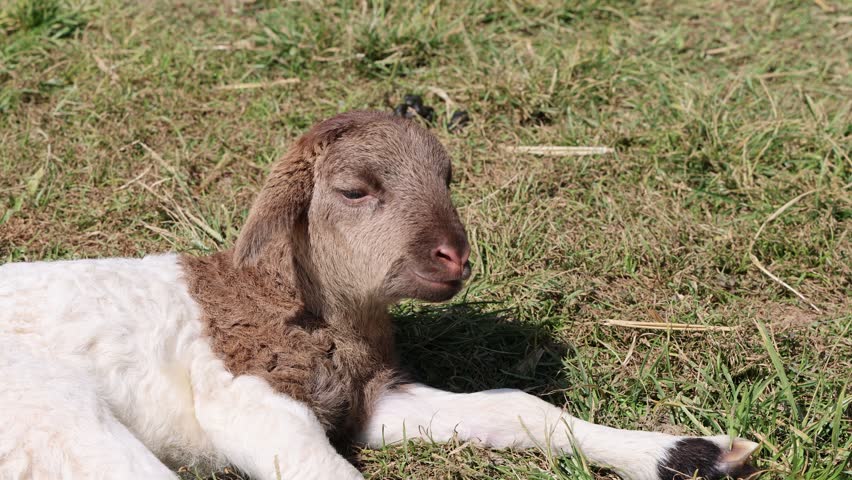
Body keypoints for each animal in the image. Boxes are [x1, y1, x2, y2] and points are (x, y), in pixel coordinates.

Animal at [0, 110, 758, 480]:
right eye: (354, 190)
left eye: (448, 177)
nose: (455, 255)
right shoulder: (250, 400)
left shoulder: (370, 403)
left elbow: (513, 408)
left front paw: (692, 456)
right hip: (54, 413)